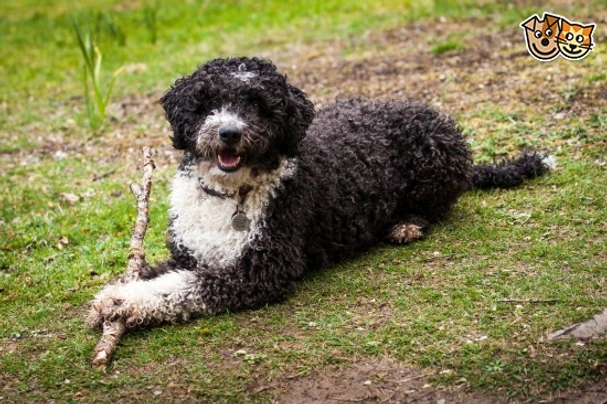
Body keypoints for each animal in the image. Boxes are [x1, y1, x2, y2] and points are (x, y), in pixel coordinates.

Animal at [86, 56, 556, 328]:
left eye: (258, 105)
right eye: (207, 101)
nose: (229, 133)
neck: (229, 195)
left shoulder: (262, 269)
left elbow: (182, 288)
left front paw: (122, 301)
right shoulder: (190, 254)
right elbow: (159, 274)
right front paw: (115, 295)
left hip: (435, 153)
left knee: (438, 207)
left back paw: (406, 224)